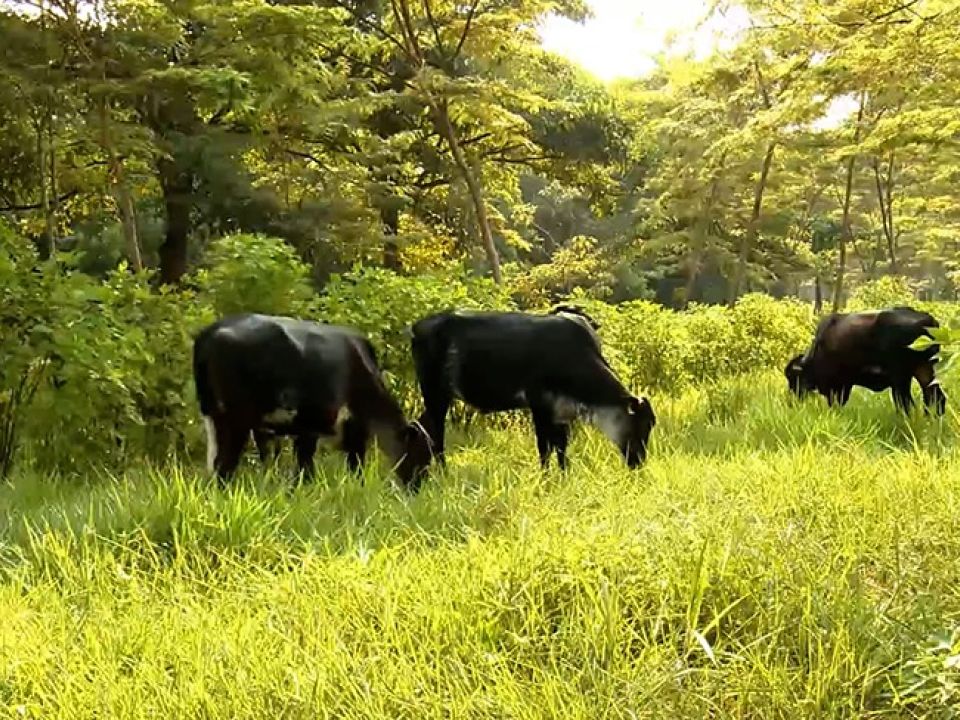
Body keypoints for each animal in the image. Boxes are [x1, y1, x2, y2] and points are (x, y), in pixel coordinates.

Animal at [193, 316, 434, 490]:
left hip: (213, 415)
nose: (417, 489)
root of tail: (209, 333)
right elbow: (310, 467)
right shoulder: (315, 423)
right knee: (225, 463)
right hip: (237, 419)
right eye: (422, 453)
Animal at [408, 306, 656, 470]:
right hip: (433, 391)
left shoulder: (561, 412)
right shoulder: (539, 405)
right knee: (436, 434)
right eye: (640, 425)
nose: (639, 462)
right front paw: (545, 478)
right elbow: (544, 448)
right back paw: (443, 470)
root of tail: (418, 325)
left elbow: (561, 448)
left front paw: (564, 476)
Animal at [788, 306, 944, 416]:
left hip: (902, 378)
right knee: (935, 397)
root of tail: (928, 320)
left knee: (907, 404)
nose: (792, 396)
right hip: (923, 369)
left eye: (792, 377)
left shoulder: (839, 385)